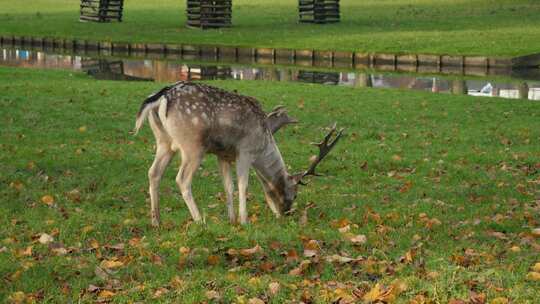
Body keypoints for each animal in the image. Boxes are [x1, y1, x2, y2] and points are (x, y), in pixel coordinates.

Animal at [135, 81, 344, 226]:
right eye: (295, 194)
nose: (285, 213)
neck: (263, 146)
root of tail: (161, 97)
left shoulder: (223, 155)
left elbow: (228, 186)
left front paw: (232, 219)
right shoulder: (245, 151)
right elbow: (243, 185)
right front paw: (244, 220)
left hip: (164, 142)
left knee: (153, 173)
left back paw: (156, 221)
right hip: (192, 145)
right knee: (182, 179)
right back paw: (199, 220)